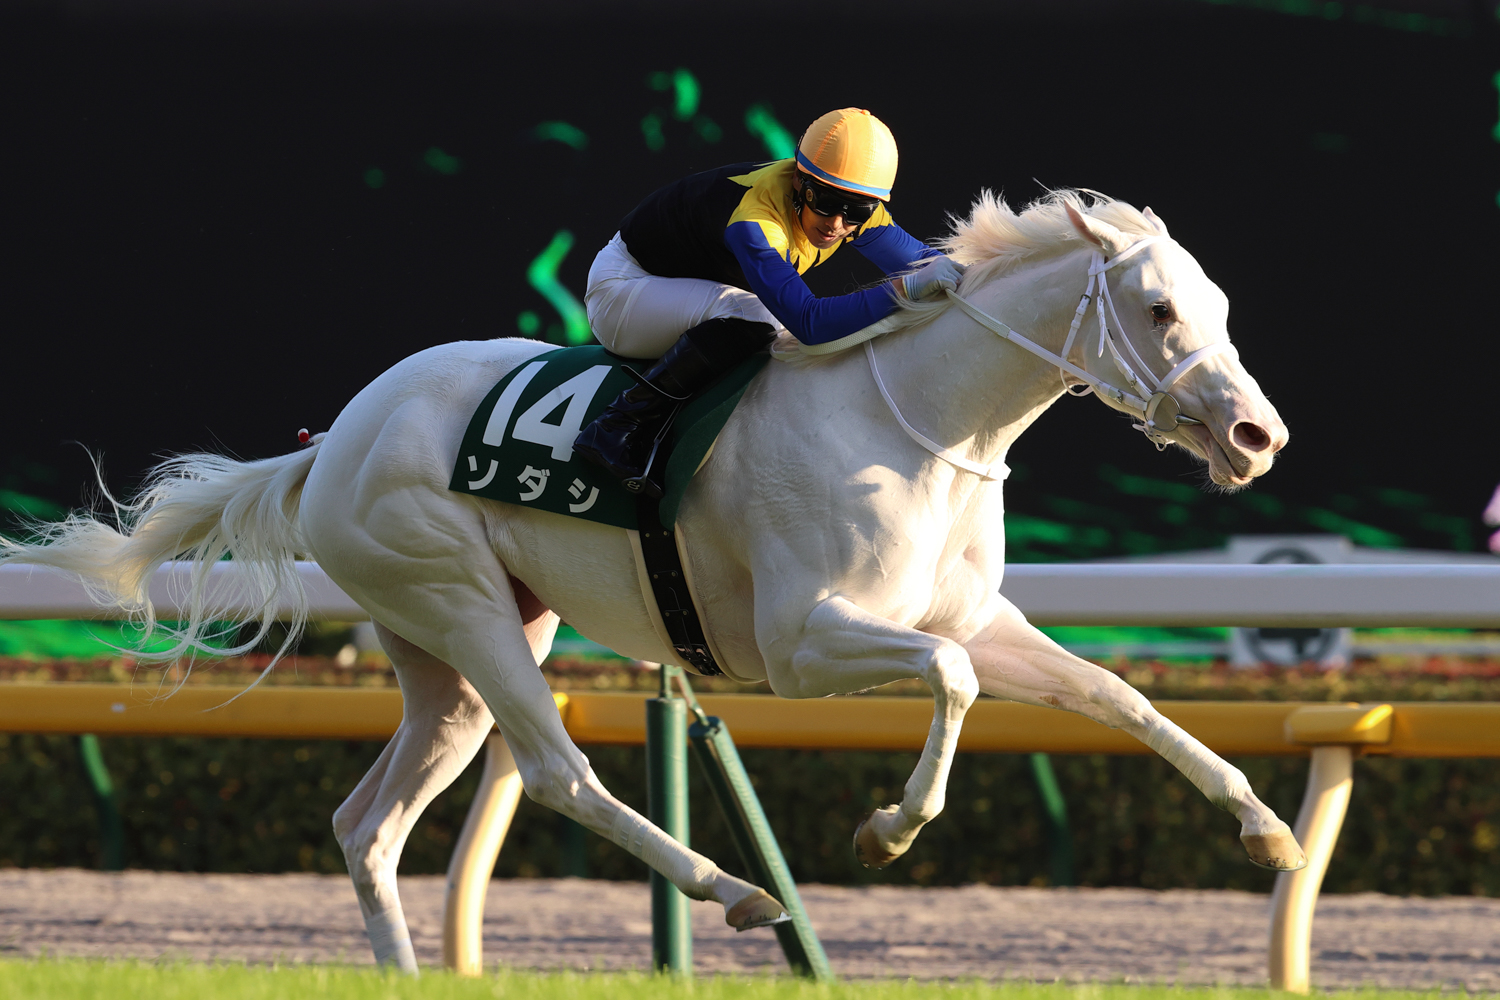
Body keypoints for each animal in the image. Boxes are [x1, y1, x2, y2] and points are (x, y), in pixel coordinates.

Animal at [5, 187, 1302, 971]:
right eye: (1158, 307)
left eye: (1221, 306)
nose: (1257, 436)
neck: (922, 419)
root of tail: (334, 439)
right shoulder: (801, 644)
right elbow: (949, 681)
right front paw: (887, 828)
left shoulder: (980, 617)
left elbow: (1116, 695)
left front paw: (1269, 831)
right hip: (459, 603)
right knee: (557, 771)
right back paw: (738, 890)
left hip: (452, 650)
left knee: (367, 823)